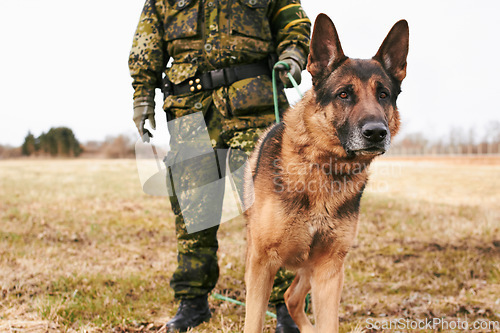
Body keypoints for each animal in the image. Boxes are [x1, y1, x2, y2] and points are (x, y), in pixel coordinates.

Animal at [243, 13, 410, 332]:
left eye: (383, 95)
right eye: (344, 94)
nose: (376, 133)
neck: (323, 169)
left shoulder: (330, 268)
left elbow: (328, 322)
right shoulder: (261, 264)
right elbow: (253, 321)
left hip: (312, 269)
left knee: (292, 297)